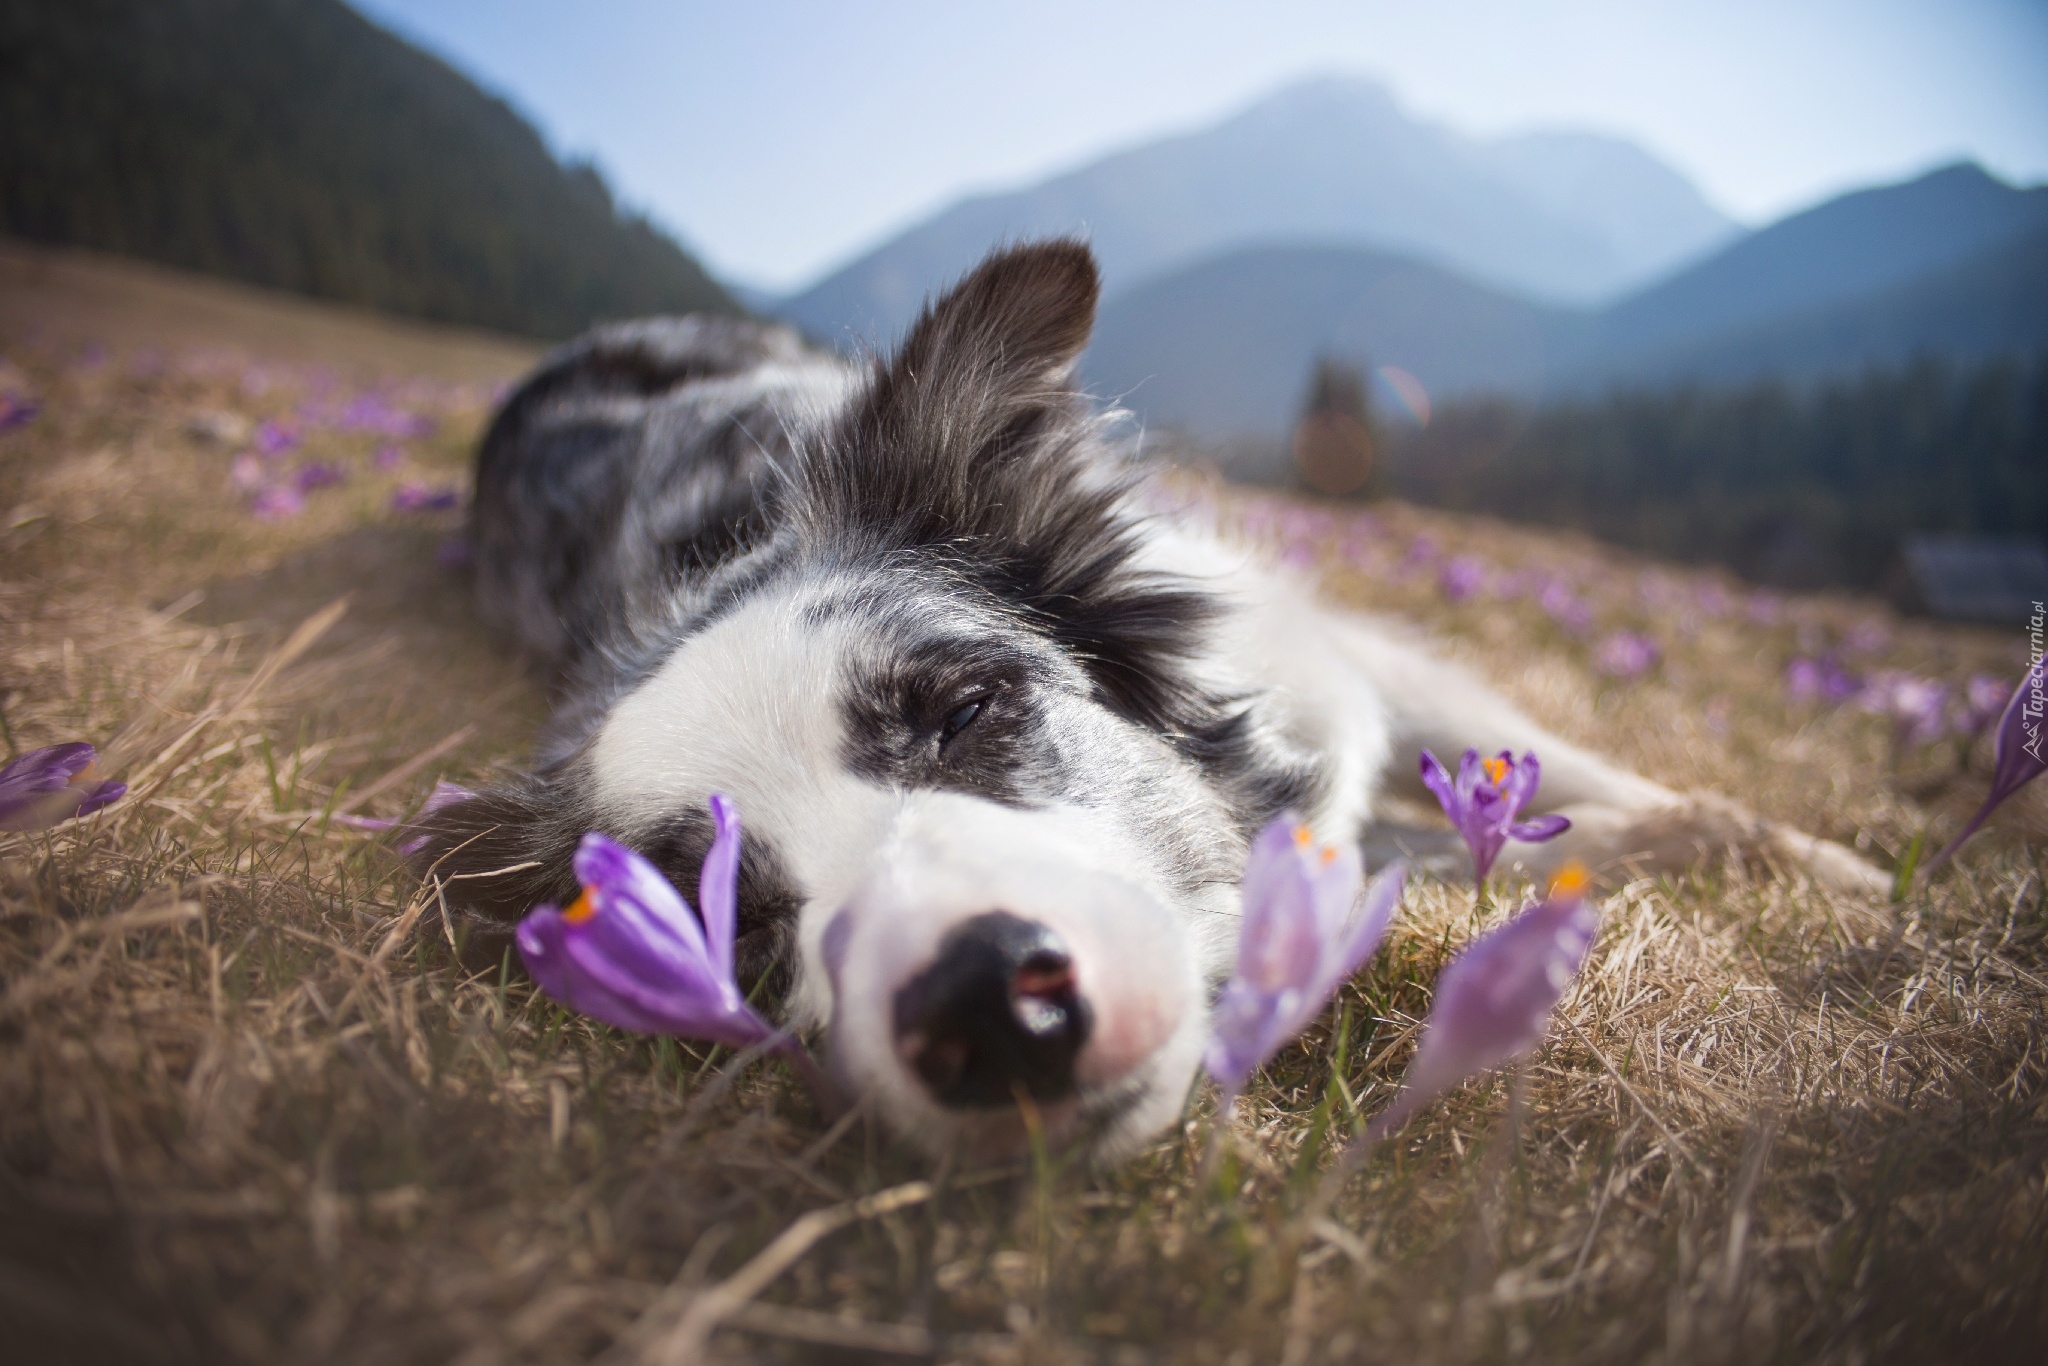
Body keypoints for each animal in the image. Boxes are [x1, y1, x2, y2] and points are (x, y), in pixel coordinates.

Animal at [419, 240, 1884, 1163]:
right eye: (722, 920)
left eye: (966, 708)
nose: (980, 1007)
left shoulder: (1329, 650)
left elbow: (1588, 782)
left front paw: (1840, 871)